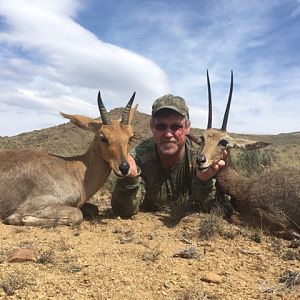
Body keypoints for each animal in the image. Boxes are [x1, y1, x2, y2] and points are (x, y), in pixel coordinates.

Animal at [0, 90, 138, 226]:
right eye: (103, 137)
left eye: (130, 137)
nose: (124, 168)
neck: (75, 170)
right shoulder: (32, 205)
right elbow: (77, 214)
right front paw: (21, 218)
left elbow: (94, 208)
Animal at [189, 71, 298, 240]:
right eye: (202, 138)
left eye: (224, 141)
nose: (200, 160)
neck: (245, 186)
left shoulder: (274, 217)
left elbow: (234, 217)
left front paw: (293, 234)